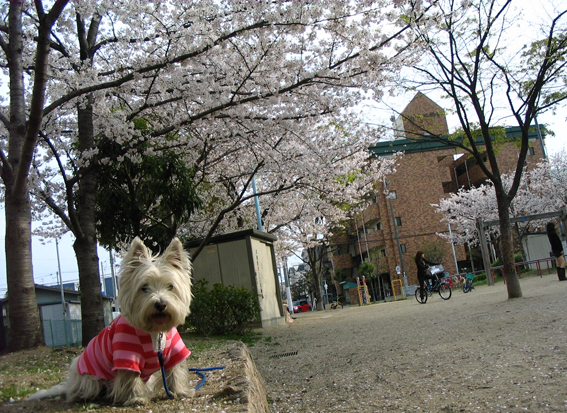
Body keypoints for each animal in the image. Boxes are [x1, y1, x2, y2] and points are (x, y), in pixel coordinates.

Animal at [27, 237, 195, 404]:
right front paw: (136, 398)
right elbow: (130, 377)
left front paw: (180, 391)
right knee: (83, 389)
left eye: (170, 286)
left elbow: (175, 371)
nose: (160, 304)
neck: (154, 332)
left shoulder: (175, 351)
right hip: (88, 376)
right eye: (144, 287)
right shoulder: (126, 354)